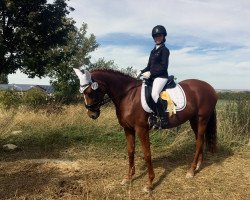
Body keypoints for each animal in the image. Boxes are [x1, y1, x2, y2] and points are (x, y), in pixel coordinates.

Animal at [73, 68, 217, 192]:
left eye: (89, 92)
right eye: (82, 93)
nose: (92, 115)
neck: (127, 95)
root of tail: (210, 88)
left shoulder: (141, 130)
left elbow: (147, 154)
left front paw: (149, 183)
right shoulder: (128, 129)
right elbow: (130, 151)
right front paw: (128, 178)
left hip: (202, 119)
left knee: (199, 141)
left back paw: (191, 171)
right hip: (194, 120)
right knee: (199, 139)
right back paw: (197, 165)